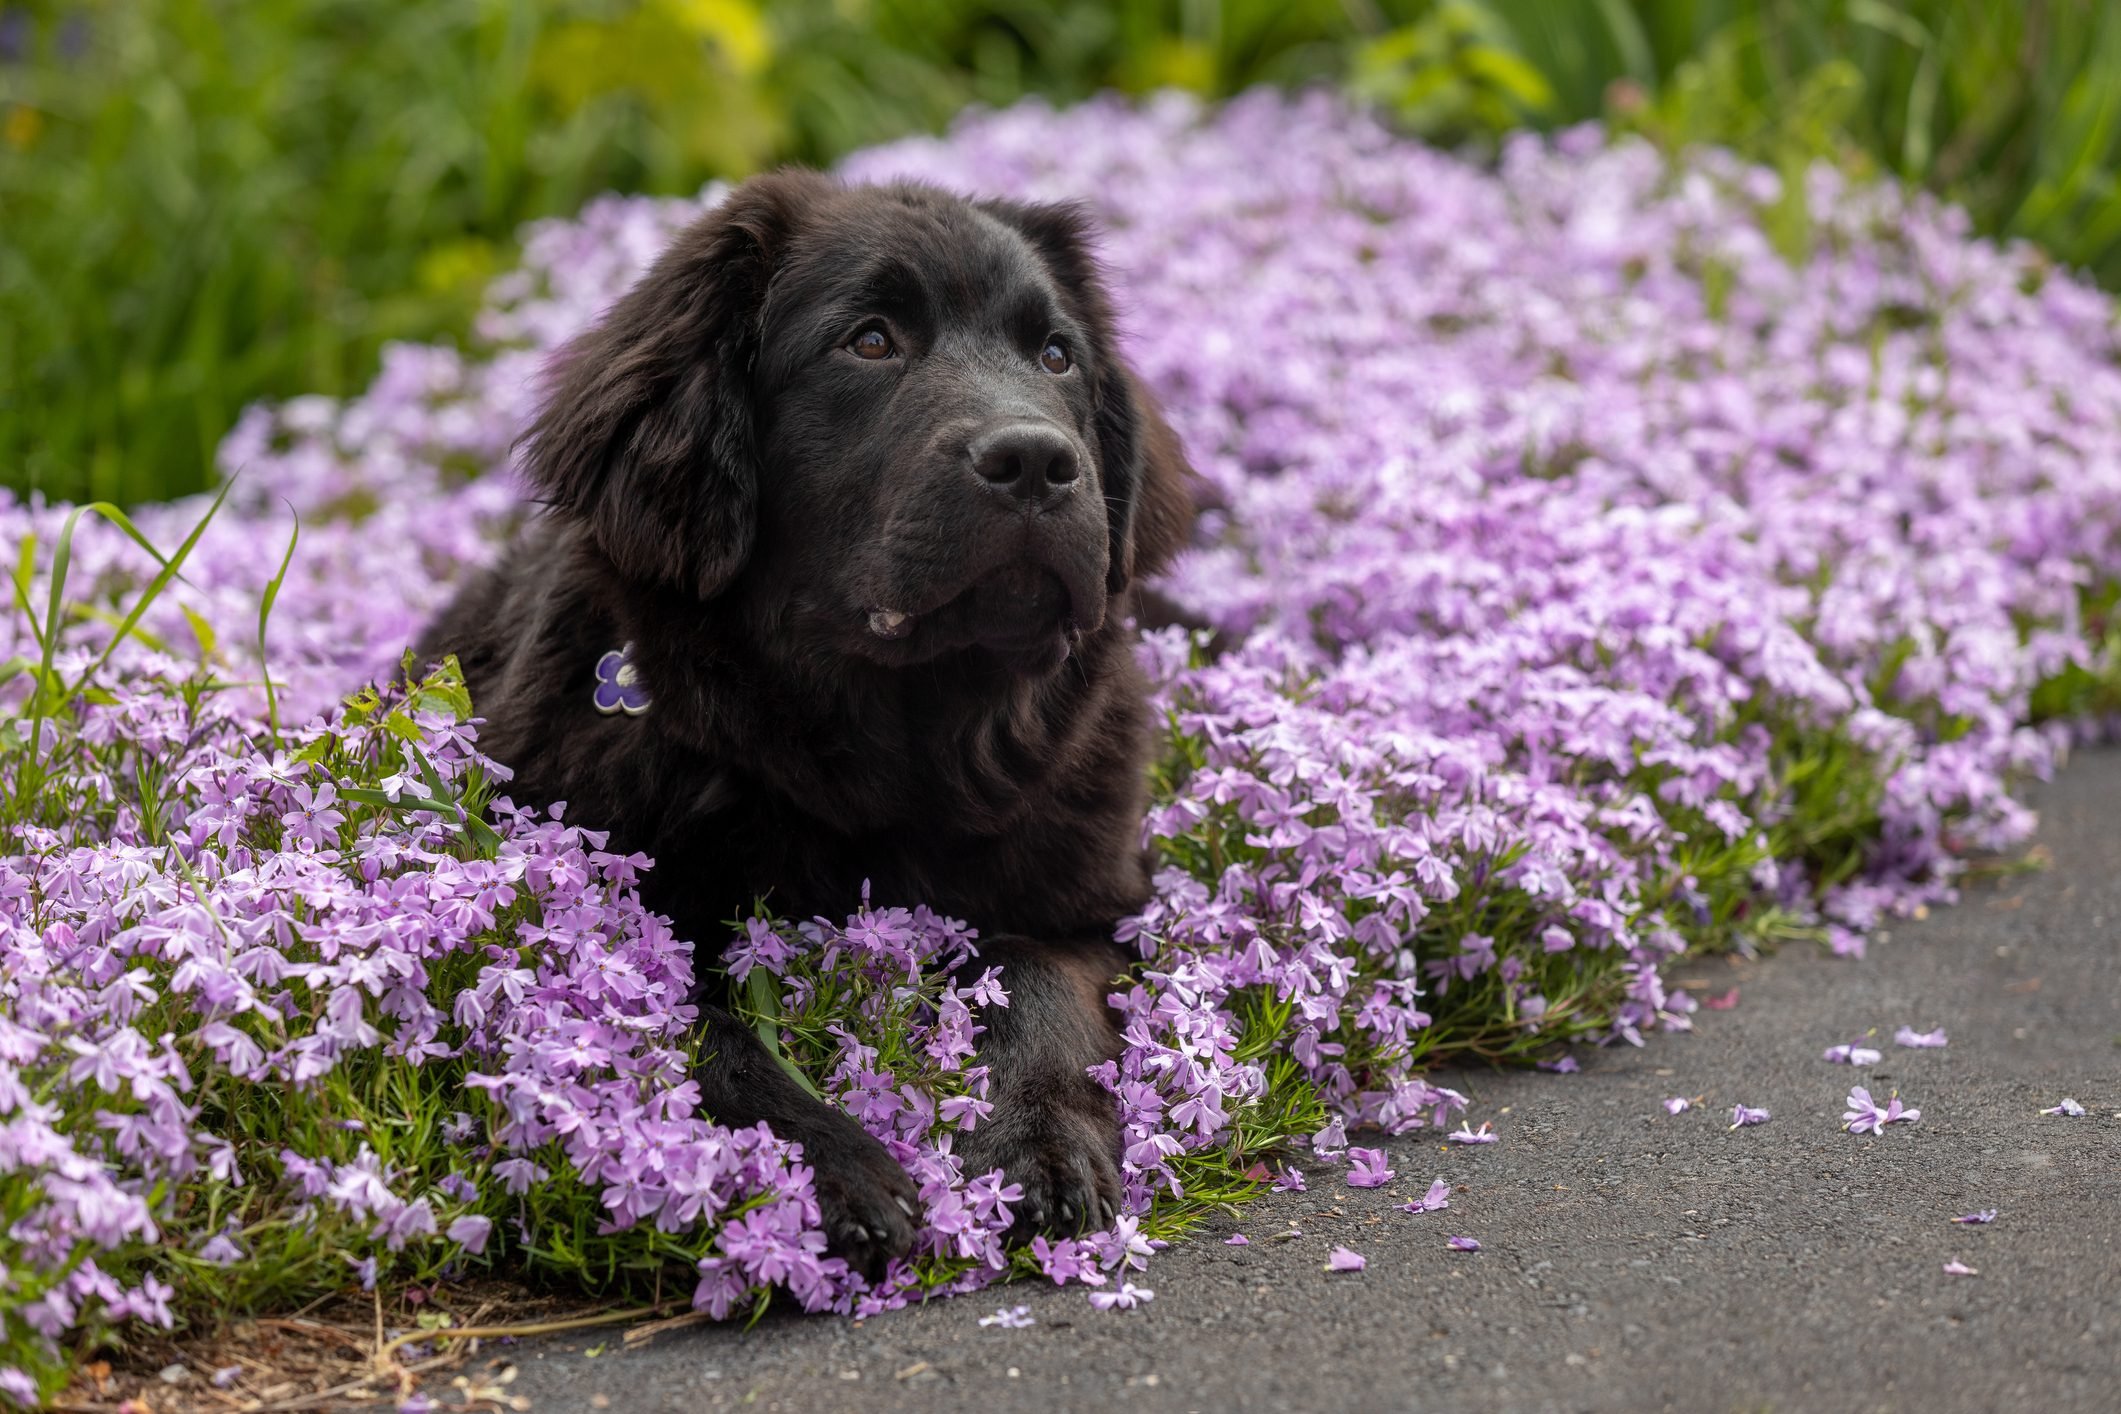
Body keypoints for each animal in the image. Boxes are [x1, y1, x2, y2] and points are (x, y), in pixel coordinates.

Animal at [417, 171, 1196, 1280]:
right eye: (868, 342)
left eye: (1057, 356)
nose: (1038, 462)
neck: (893, 745)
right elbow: (699, 1028)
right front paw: (833, 1172)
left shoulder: (1091, 906)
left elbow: (1036, 981)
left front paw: (1035, 1145)